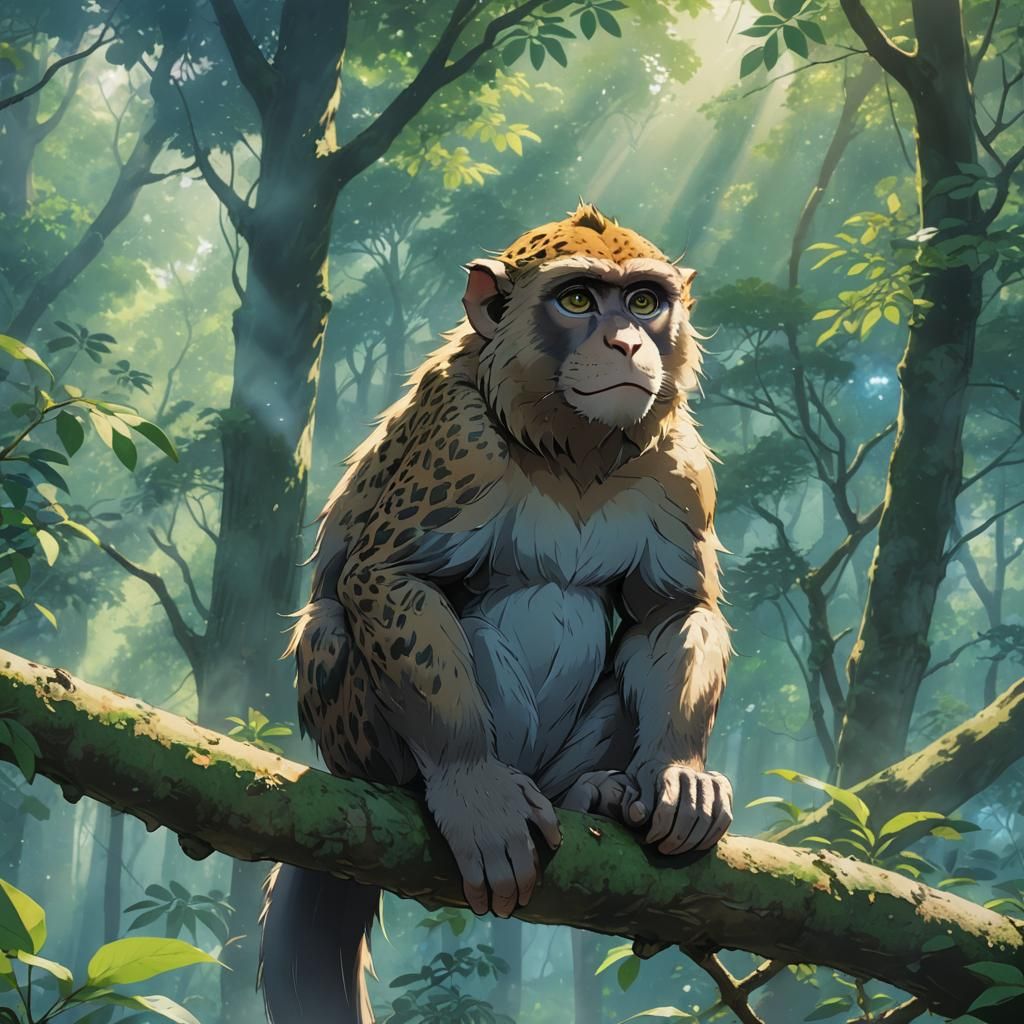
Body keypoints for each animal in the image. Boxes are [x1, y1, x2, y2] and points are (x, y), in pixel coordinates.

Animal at [259, 202, 733, 1024]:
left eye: (644, 300)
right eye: (577, 299)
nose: (626, 343)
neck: (572, 449)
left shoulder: (679, 459)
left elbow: (670, 612)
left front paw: (680, 770)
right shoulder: (461, 434)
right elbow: (389, 576)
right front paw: (471, 788)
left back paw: (592, 794)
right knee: (332, 627)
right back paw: (427, 784)